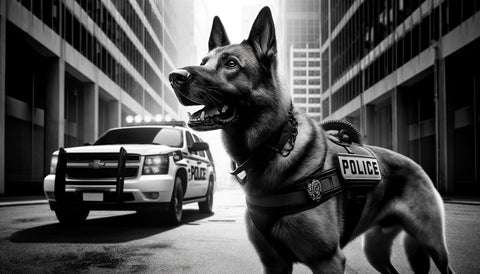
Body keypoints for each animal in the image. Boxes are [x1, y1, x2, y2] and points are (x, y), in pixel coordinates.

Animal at [169, 6, 454, 274]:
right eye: (204, 61)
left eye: (231, 64)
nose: (175, 77)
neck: (273, 146)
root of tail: (414, 163)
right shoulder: (274, 264)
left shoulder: (327, 261)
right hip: (375, 252)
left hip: (433, 244)